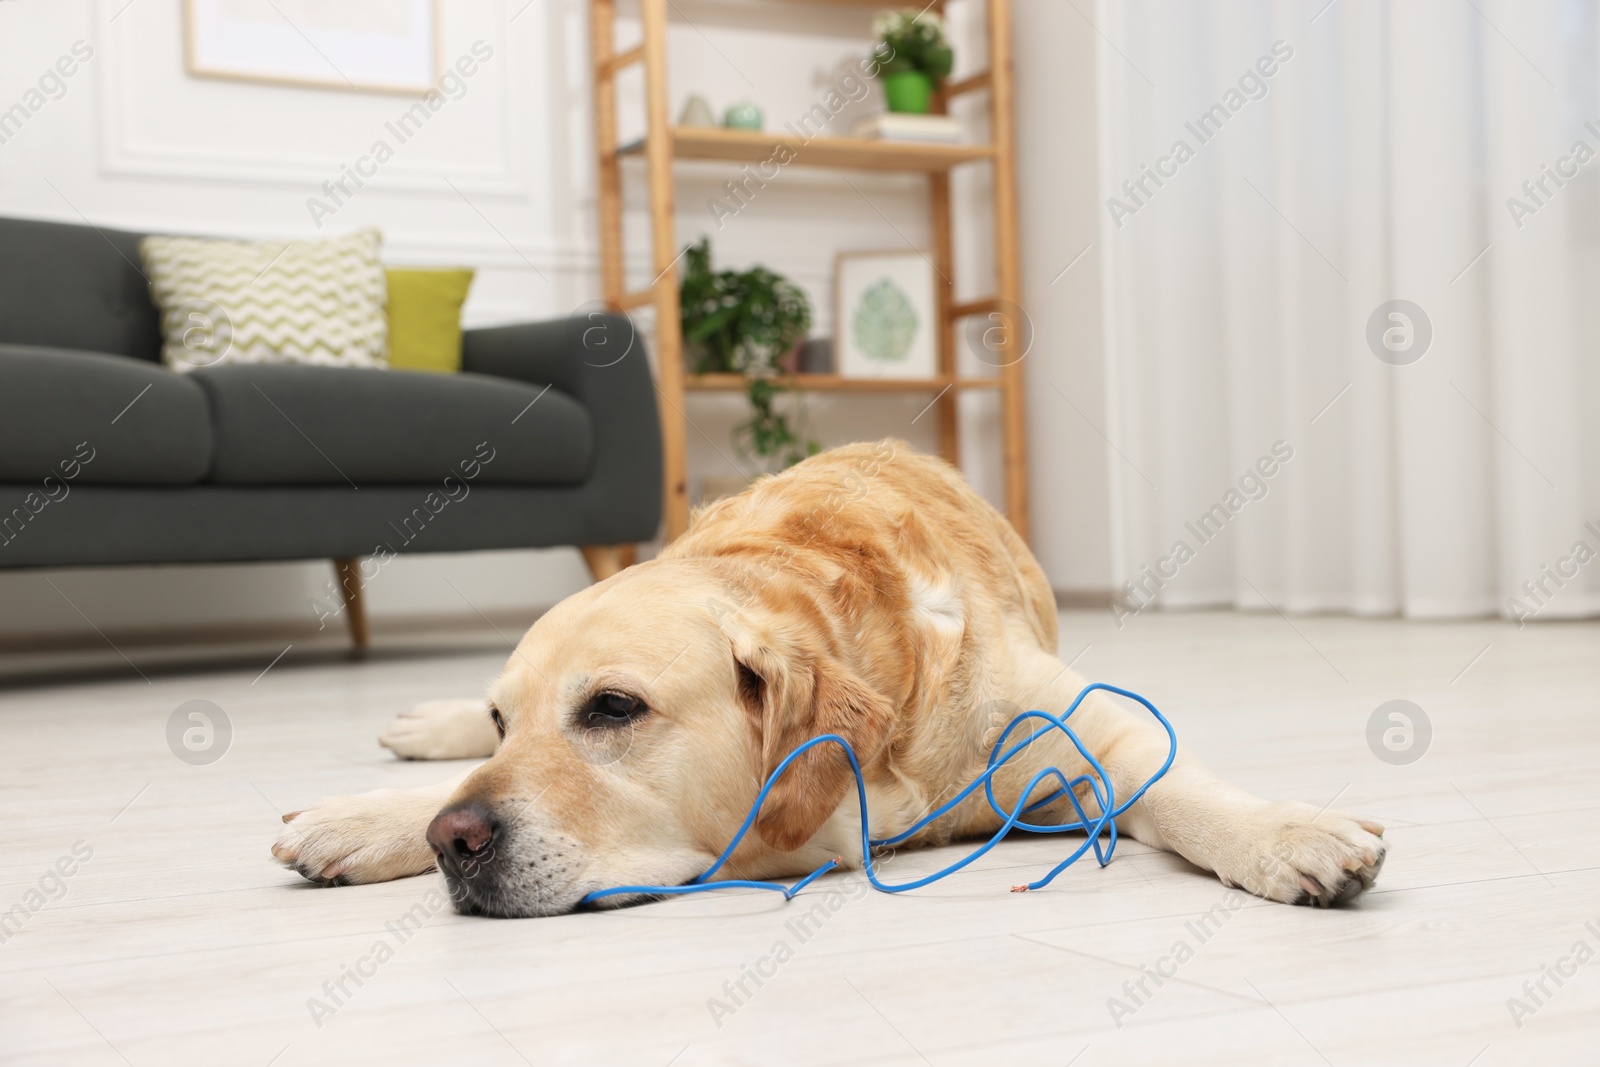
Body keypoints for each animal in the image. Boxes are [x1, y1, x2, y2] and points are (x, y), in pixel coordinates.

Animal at [268, 438, 1382, 915]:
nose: (451, 842)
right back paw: (423, 726)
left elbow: (1186, 787)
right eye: (512, 721)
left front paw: (1287, 832)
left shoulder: (1090, 732)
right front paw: (370, 816)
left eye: (613, 707)